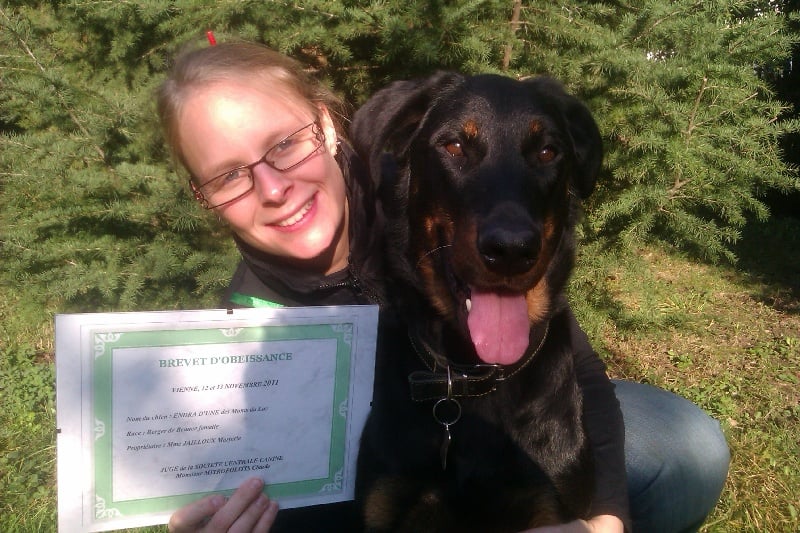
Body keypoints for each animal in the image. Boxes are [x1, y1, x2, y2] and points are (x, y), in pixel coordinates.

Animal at [350, 72, 603, 532]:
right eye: (453, 146)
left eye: (547, 151)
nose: (511, 249)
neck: (473, 378)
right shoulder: (385, 502)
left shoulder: (553, 506)